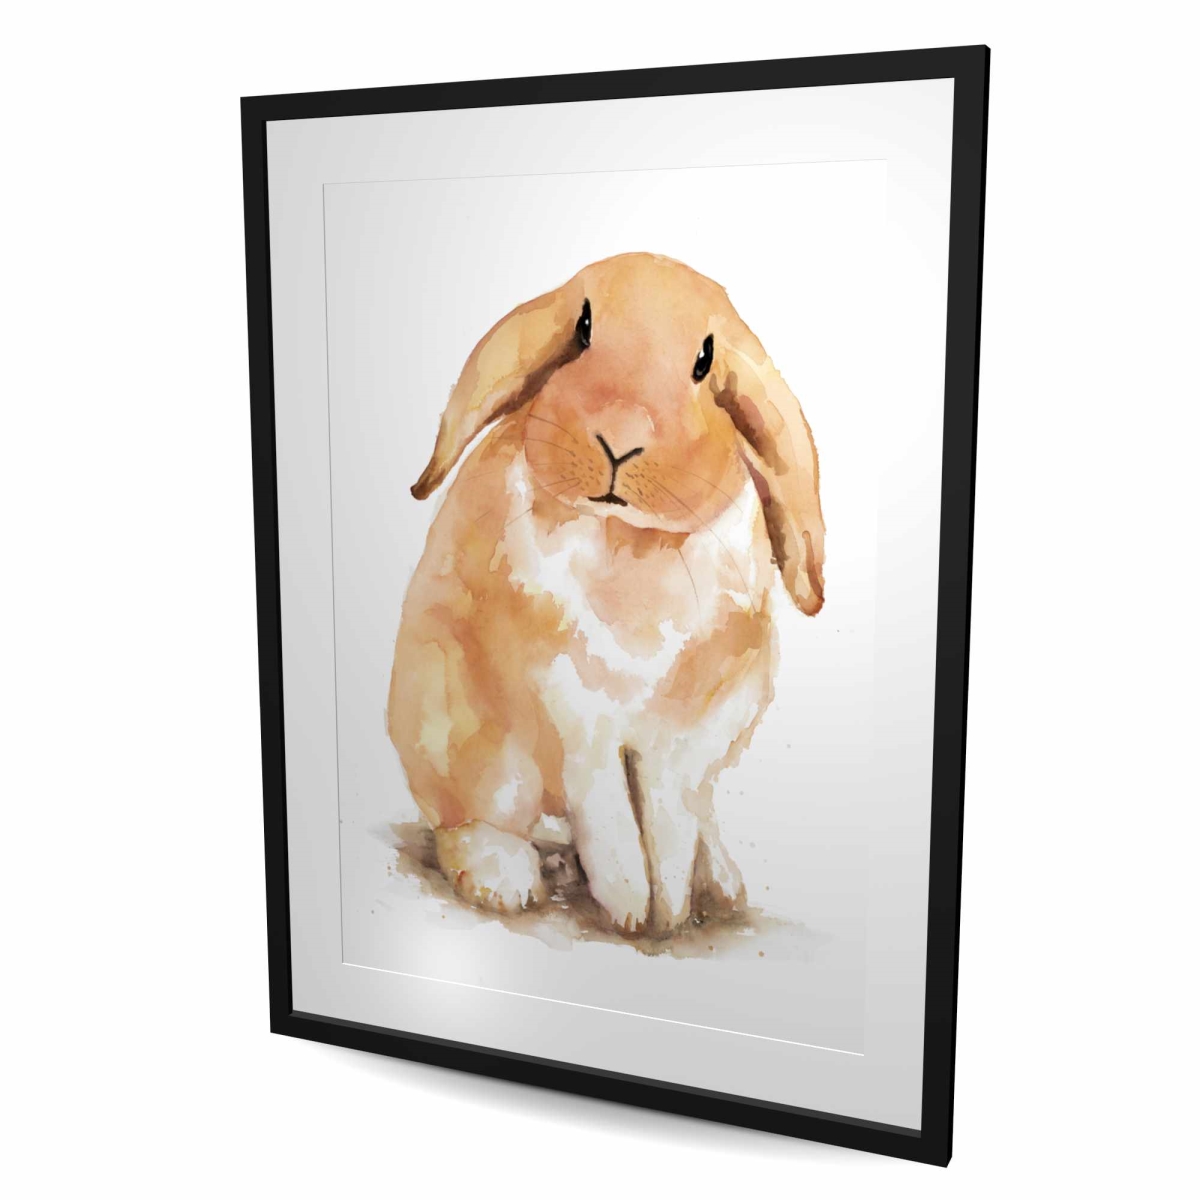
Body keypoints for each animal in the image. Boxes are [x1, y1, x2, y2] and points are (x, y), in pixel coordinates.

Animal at [388, 252, 824, 936]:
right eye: (583, 329)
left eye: (705, 361)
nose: (619, 438)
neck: (633, 543)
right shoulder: (575, 714)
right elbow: (610, 815)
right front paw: (630, 908)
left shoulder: (688, 737)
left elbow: (667, 822)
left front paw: (669, 911)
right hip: (468, 738)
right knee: (474, 818)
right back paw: (504, 879)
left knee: (693, 817)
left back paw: (719, 882)